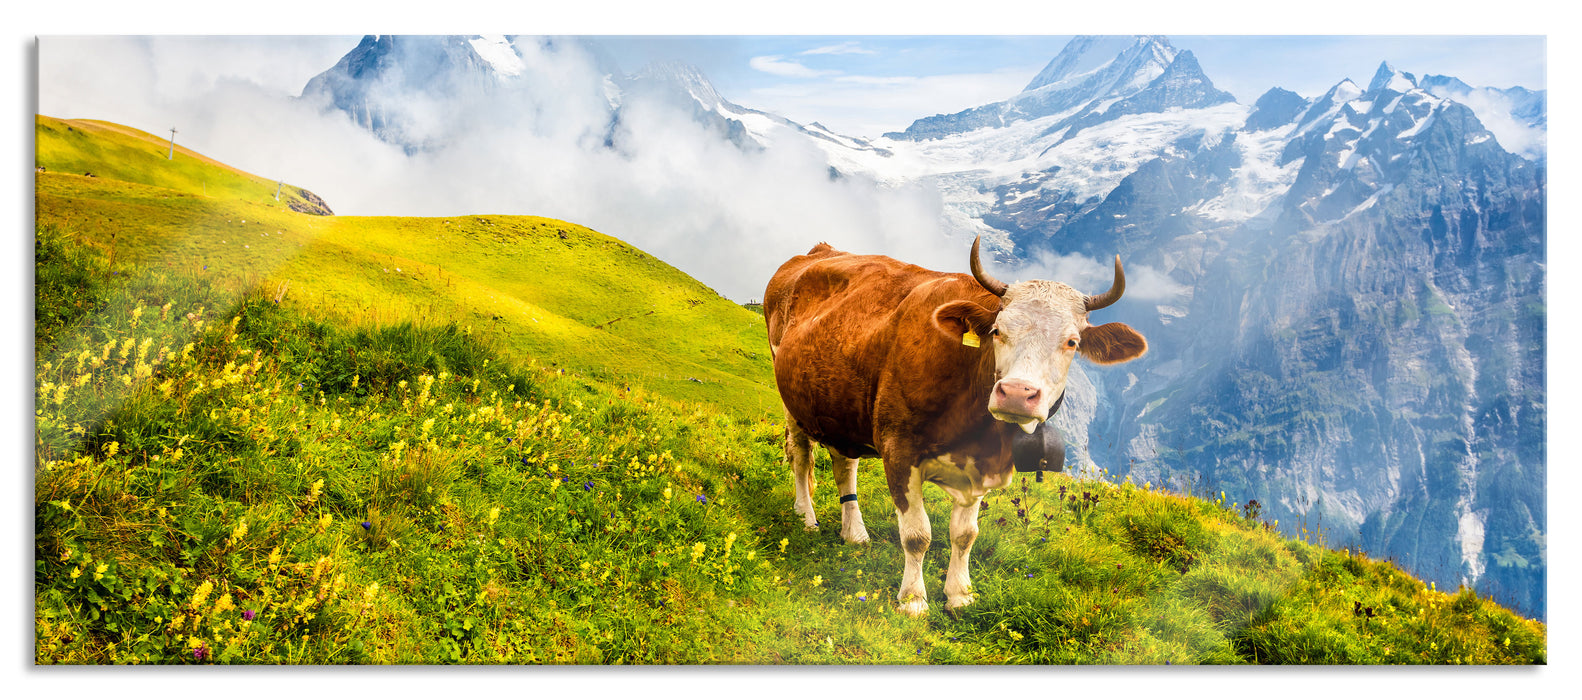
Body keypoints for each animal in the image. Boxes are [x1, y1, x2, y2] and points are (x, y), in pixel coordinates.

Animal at [763, 236, 1148, 616]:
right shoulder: (898, 450)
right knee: (801, 456)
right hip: (790, 399)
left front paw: (960, 594)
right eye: (997, 331)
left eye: (1072, 342)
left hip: (838, 404)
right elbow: (917, 535)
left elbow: (965, 534)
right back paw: (806, 516)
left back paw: (854, 532)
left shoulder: (981, 465)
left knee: (845, 464)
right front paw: (913, 600)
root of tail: (820, 250)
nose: (1016, 393)